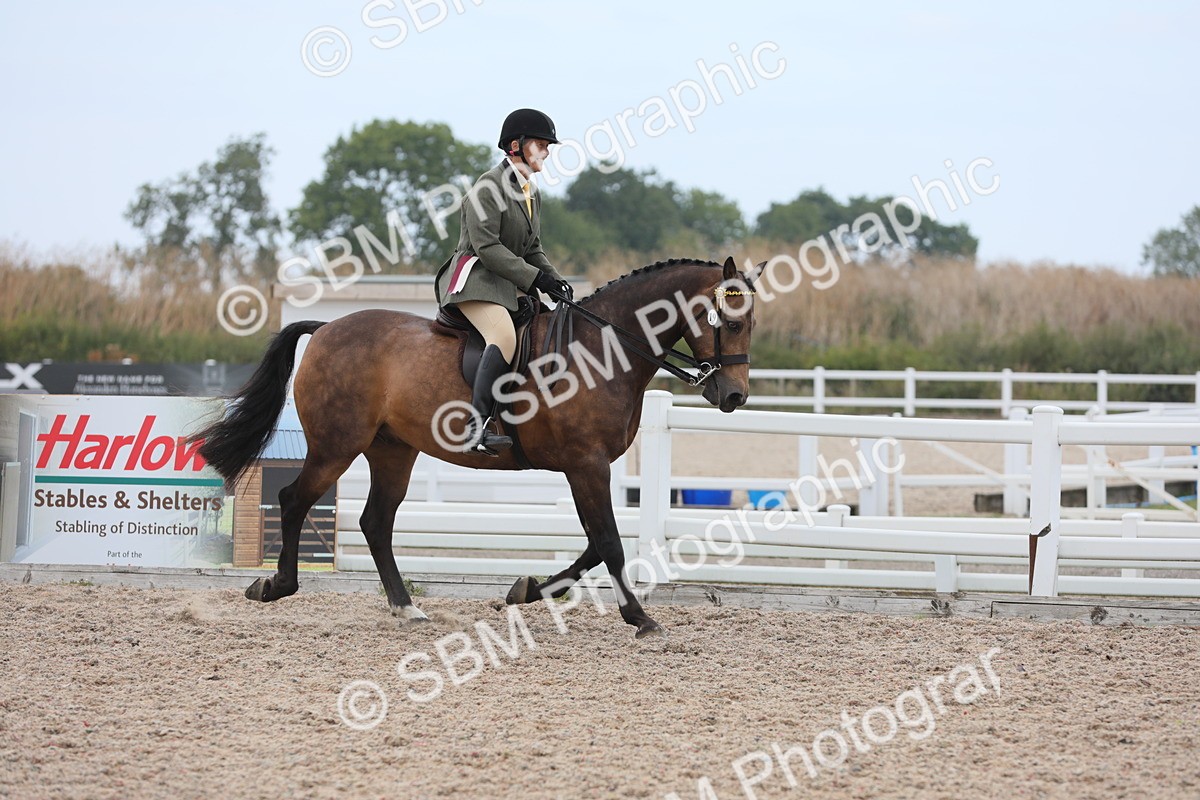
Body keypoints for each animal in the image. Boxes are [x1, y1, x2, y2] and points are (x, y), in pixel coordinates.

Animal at [193, 257, 758, 638]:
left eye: (750, 323)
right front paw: (640, 618)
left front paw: (527, 590)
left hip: (392, 451)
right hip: (336, 446)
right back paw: (275, 585)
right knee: (293, 500)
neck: (603, 349)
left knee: (375, 522)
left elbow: (596, 544)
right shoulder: (586, 465)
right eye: (729, 322)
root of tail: (327, 326)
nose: (734, 397)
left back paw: (406, 608)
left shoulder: (586, 468)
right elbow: (611, 543)